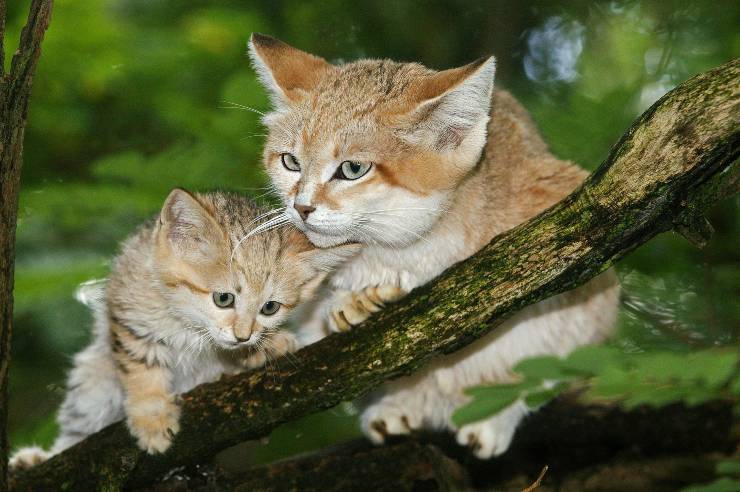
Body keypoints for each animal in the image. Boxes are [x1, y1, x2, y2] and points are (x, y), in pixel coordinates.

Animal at [10, 189, 358, 468]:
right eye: (223, 298)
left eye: (269, 308)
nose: (243, 336)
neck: (191, 323)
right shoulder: (129, 311)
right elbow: (141, 366)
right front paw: (152, 417)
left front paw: (264, 349)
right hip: (93, 383)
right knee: (78, 427)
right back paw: (36, 459)